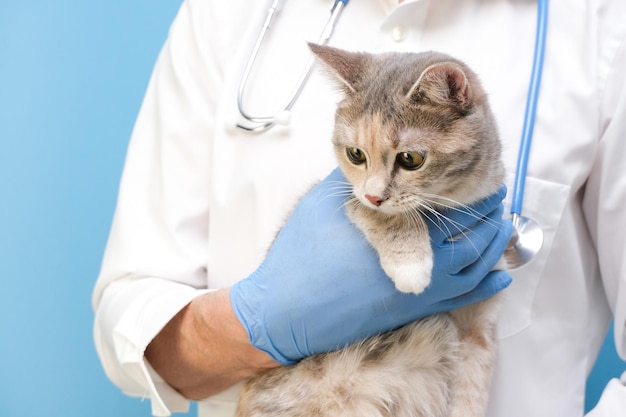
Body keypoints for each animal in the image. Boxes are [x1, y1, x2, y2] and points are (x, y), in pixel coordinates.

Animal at [233, 44, 502, 416]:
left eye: (411, 159)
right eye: (355, 154)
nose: (375, 196)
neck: (451, 204)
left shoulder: (477, 328)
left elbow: (470, 390)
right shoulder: (347, 192)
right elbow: (387, 216)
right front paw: (411, 265)